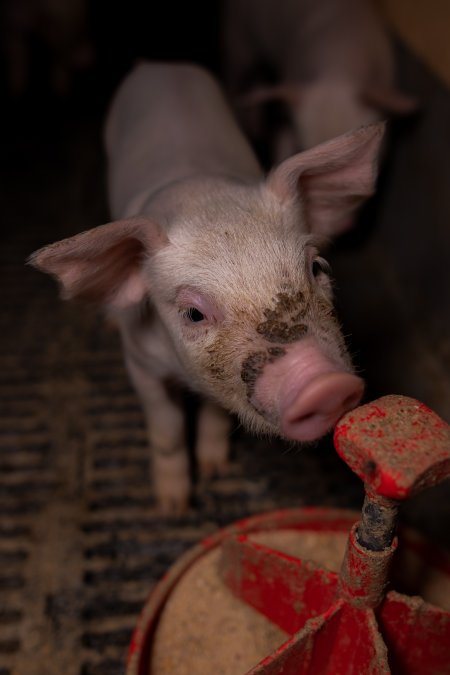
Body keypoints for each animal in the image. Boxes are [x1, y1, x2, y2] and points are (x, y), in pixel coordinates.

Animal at [29, 63, 384, 516]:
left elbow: (217, 414)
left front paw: (217, 470)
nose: (324, 383)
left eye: (316, 267)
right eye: (193, 313)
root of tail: (158, 63)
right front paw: (173, 507)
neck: (201, 196)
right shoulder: (139, 363)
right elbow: (167, 429)